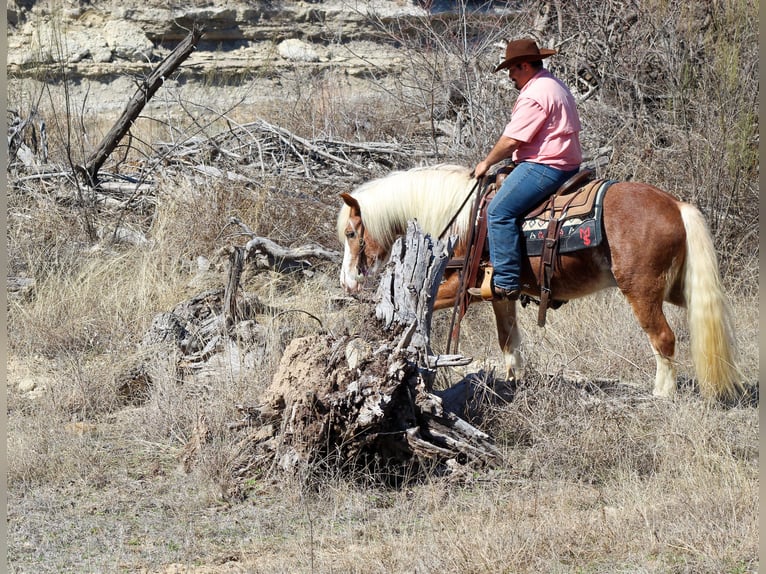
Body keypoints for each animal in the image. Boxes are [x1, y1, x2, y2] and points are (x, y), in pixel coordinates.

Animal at [338, 164, 744, 402]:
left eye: (350, 233)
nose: (348, 282)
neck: (462, 219)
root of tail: (675, 205)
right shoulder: (498, 293)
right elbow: (508, 339)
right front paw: (513, 380)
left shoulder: (457, 287)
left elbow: (419, 308)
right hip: (676, 288)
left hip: (642, 293)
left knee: (663, 338)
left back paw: (662, 393)